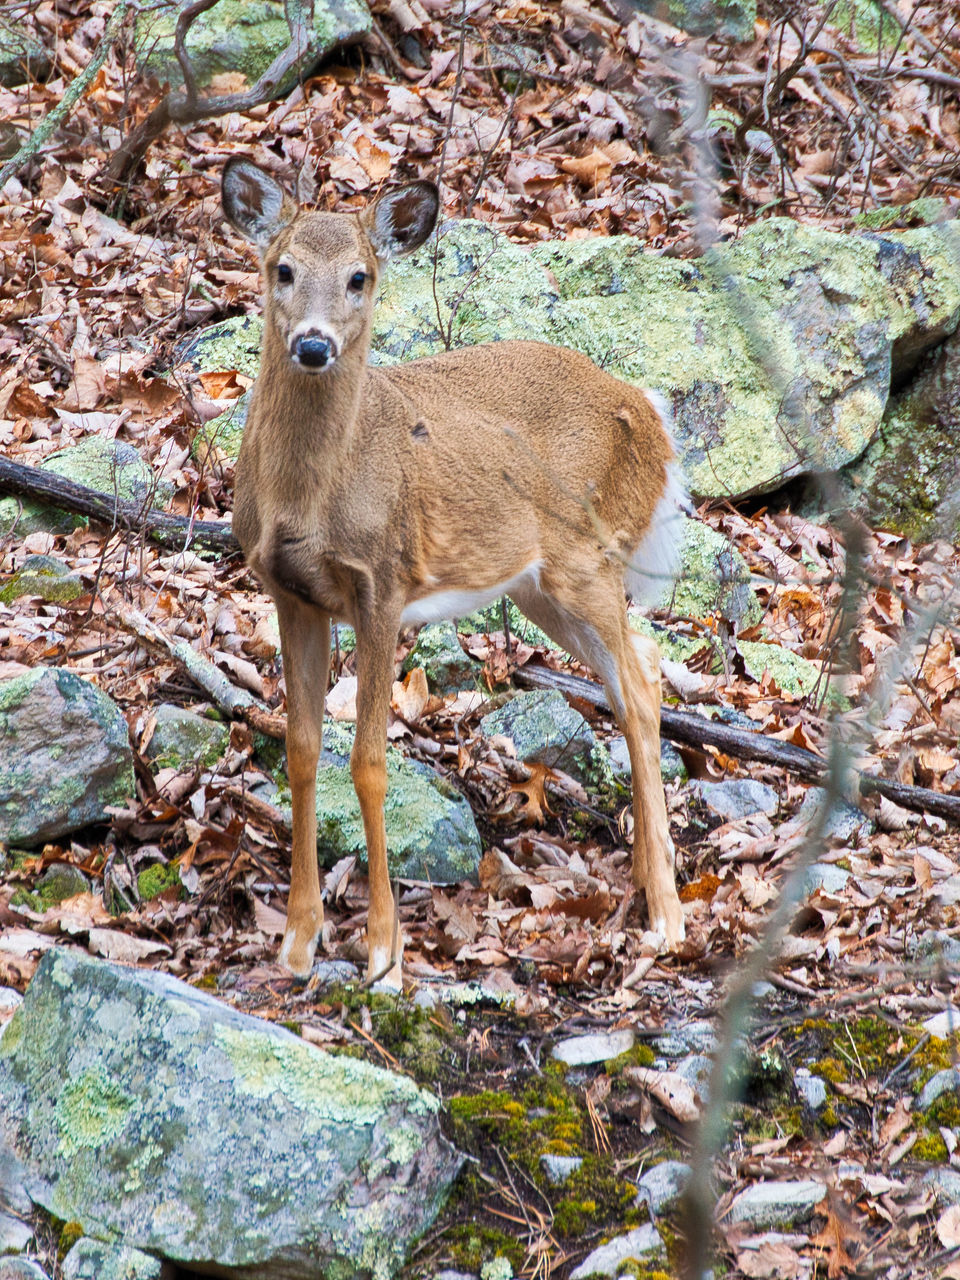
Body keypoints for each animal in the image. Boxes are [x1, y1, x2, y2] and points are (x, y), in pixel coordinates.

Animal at [224, 154, 691, 983]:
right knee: (640, 662)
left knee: (637, 683)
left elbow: (369, 762)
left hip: (587, 557)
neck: (310, 500)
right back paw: (646, 880)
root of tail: (650, 409)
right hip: (541, 586)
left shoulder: (381, 586)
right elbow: (303, 753)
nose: (312, 345)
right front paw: (299, 940)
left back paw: (668, 915)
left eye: (361, 276)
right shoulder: (290, 593)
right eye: (282, 268)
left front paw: (383, 949)